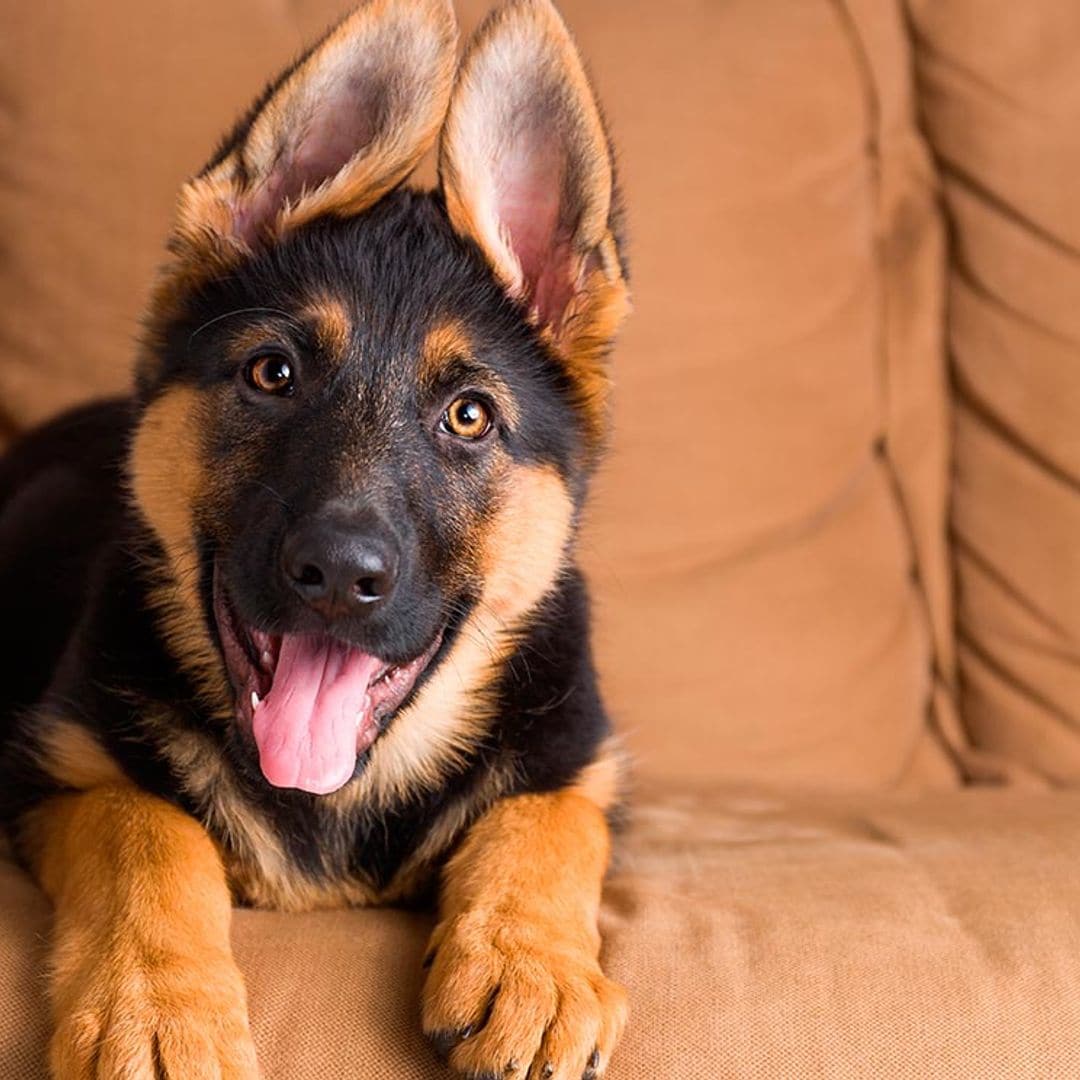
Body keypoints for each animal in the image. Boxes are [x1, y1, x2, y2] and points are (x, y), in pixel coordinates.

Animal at [0, 0, 630, 1075]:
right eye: (273, 373)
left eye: (469, 416)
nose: (338, 575)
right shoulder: (52, 767)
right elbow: (144, 825)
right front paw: (154, 1007)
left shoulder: (583, 764)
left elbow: (543, 817)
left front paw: (531, 966)